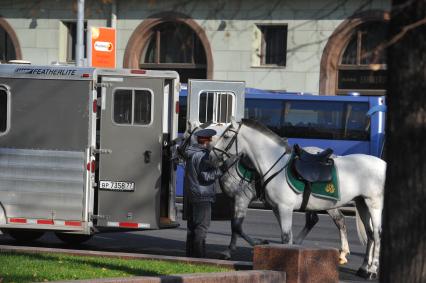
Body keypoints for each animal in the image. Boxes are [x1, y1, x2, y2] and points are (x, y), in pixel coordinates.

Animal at [213, 119, 386, 280]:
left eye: (226, 135)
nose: (213, 155)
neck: (275, 165)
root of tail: (383, 164)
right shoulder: (275, 208)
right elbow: (280, 237)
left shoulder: (281, 207)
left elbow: (283, 236)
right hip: (362, 203)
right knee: (369, 234)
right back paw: (363, 268)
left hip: (373, 205)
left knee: (376, 234)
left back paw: (371, 269)